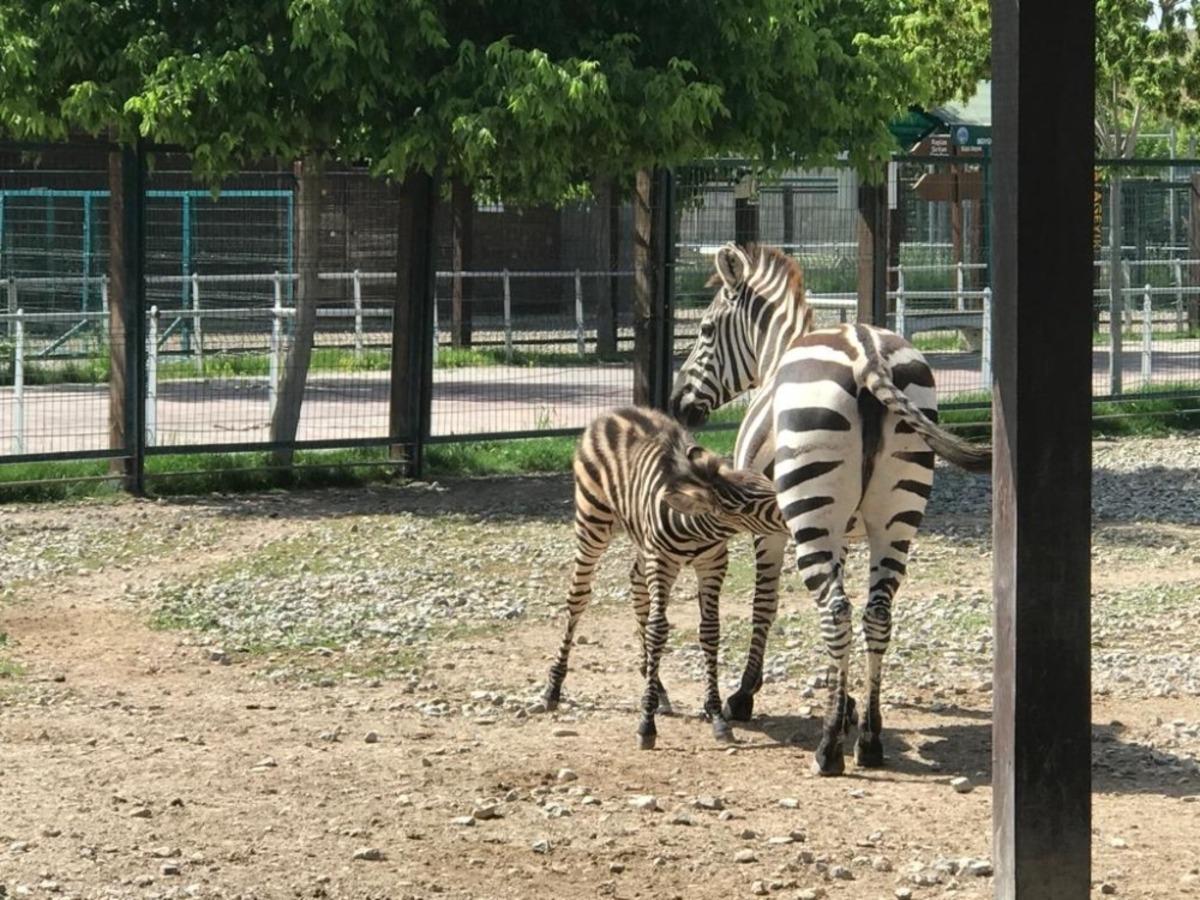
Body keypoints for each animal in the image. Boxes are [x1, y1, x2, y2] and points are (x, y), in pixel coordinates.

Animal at [542, 406, 786, 749]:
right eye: (746, 505)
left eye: (766, 481)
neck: (696, 528)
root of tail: (613, 412)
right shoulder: (663, 561)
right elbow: (658, 629)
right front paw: (646, 724)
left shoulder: (712, 563)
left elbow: (710, 631)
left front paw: (716, 716)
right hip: (593, 522)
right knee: (578, 597)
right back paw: (554, 687)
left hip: (640, 541)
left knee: (636, 585)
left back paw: (656, 685)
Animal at [670, 242, 990, 775]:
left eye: (706, 331)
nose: (678, 405)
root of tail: (866, 352)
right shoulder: (839, 530)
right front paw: (847, 709)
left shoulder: (771, 528)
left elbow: (765, 604)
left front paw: (745, 695)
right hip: (892, 515)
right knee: (874, 612)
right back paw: (871, 740)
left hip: (812, 510)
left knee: (837, 610)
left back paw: (828, 750)